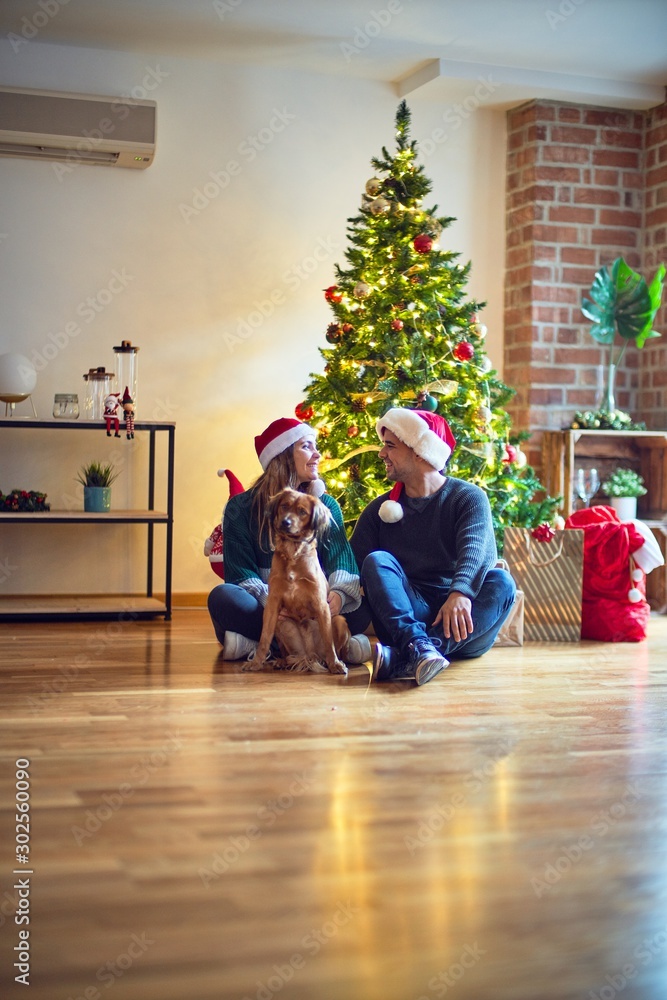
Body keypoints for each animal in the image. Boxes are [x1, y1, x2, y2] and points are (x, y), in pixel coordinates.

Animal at [245, 488, 350, 676]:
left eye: (302, 512)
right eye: (284, 506)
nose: (285, 522)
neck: (292, 553)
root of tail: (309, 656)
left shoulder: (321, 604)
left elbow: (328, 640)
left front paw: (335, 665)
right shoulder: (273, 604)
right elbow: (264, 638)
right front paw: (256, 662)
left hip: (339, 621)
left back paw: (335, 661)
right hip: (280, 623)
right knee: (285, 652)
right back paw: (282, 661)